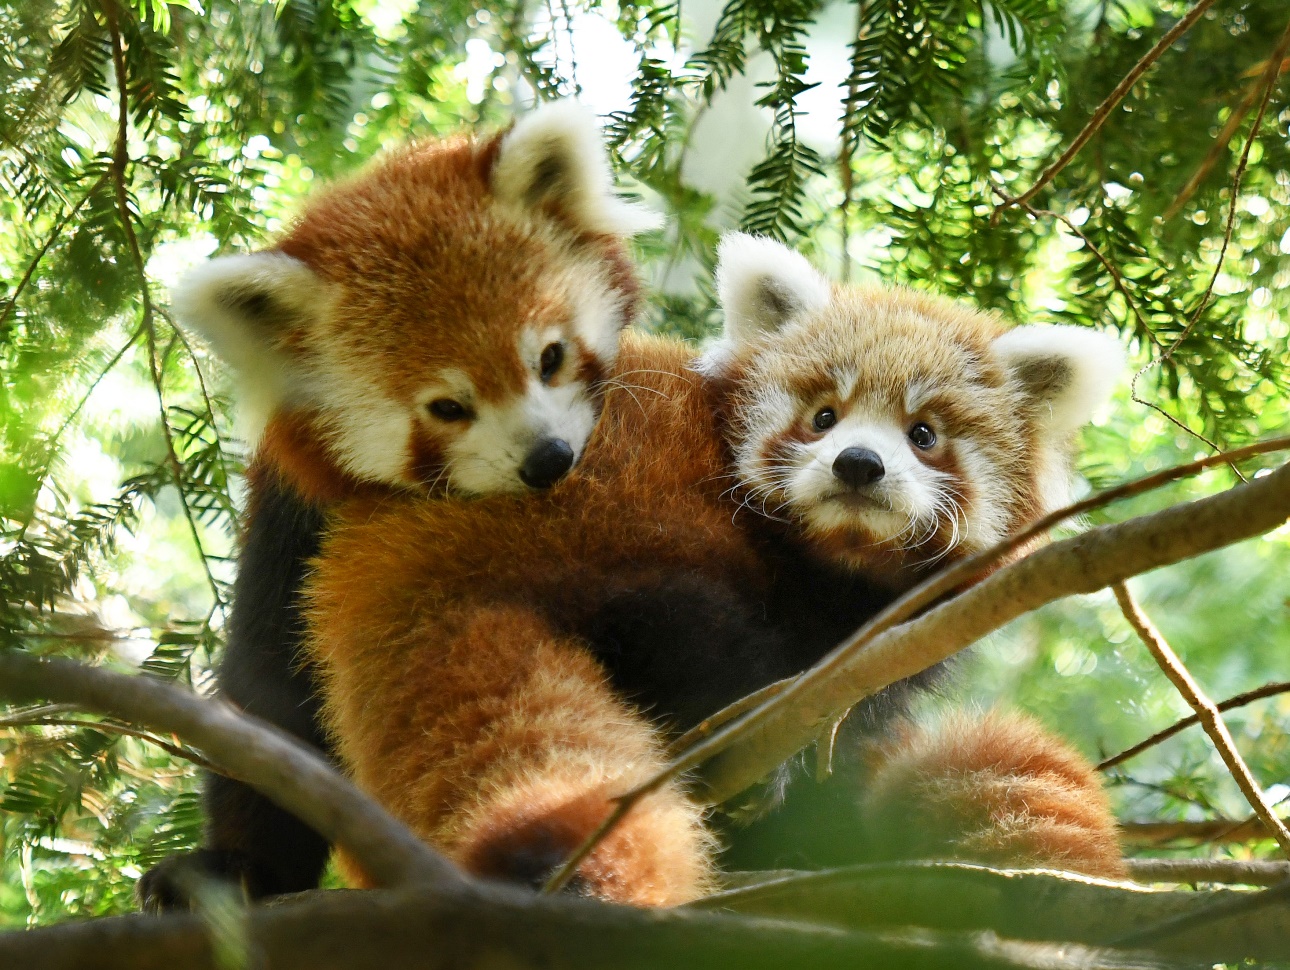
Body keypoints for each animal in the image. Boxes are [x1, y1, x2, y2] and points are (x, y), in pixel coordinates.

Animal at [138, 104, 655, 908]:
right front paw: (236, 866)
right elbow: (272, 695)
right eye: (446, 407)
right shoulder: (297, 528)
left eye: (550, 358)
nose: (547, 459)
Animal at [301, 230, 1130, 908]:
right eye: (823, 416)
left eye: (924, 434)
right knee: (681, 627)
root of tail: (396, 572)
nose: (859, 465)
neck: (831, 564)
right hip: (602, 532)